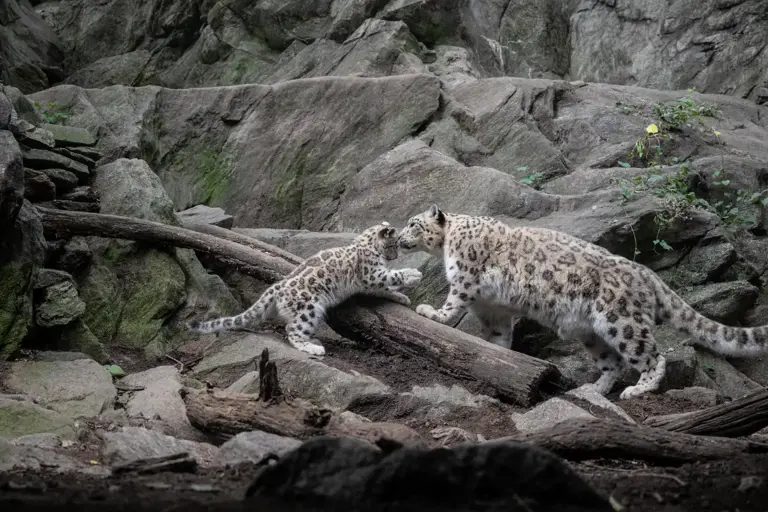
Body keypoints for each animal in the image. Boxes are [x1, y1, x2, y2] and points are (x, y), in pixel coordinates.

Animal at [188, 222, 423, 356]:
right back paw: (313, 347)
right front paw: (413, 275)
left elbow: (385, 288)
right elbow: (390, 276)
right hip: (308, 308)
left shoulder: (371, 280)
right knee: (292, 329)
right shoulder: (371, 273)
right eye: (394, 244)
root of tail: (277, 287)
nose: (394, 256)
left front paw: (402, 297)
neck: (368, 245)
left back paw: (314, 340)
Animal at [397, 204, 768, 400]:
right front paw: (498, 356)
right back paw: (593, 389)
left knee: (652, 356)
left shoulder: (466, 278)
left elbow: (452, 305)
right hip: (592, 332)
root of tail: (648, 274)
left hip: (622, 321)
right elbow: (499, 336)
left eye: (413, 223)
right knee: (612, 362)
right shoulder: (494, 308)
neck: (447, 246)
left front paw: (431, 312)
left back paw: (638, 390)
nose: (399, 237)